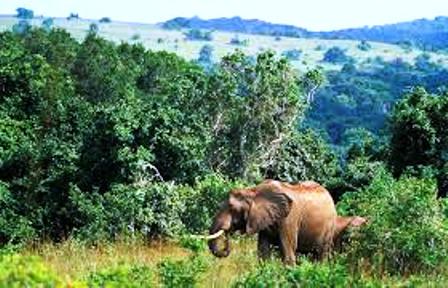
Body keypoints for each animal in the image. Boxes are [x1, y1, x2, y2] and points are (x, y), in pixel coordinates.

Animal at [206, 179, 336, 264]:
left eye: (232, 208)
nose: (226, 247)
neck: (253, 191)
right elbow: (263, 253)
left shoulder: (289, 218)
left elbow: (288, 251)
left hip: (329, 227)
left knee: (321, 254)